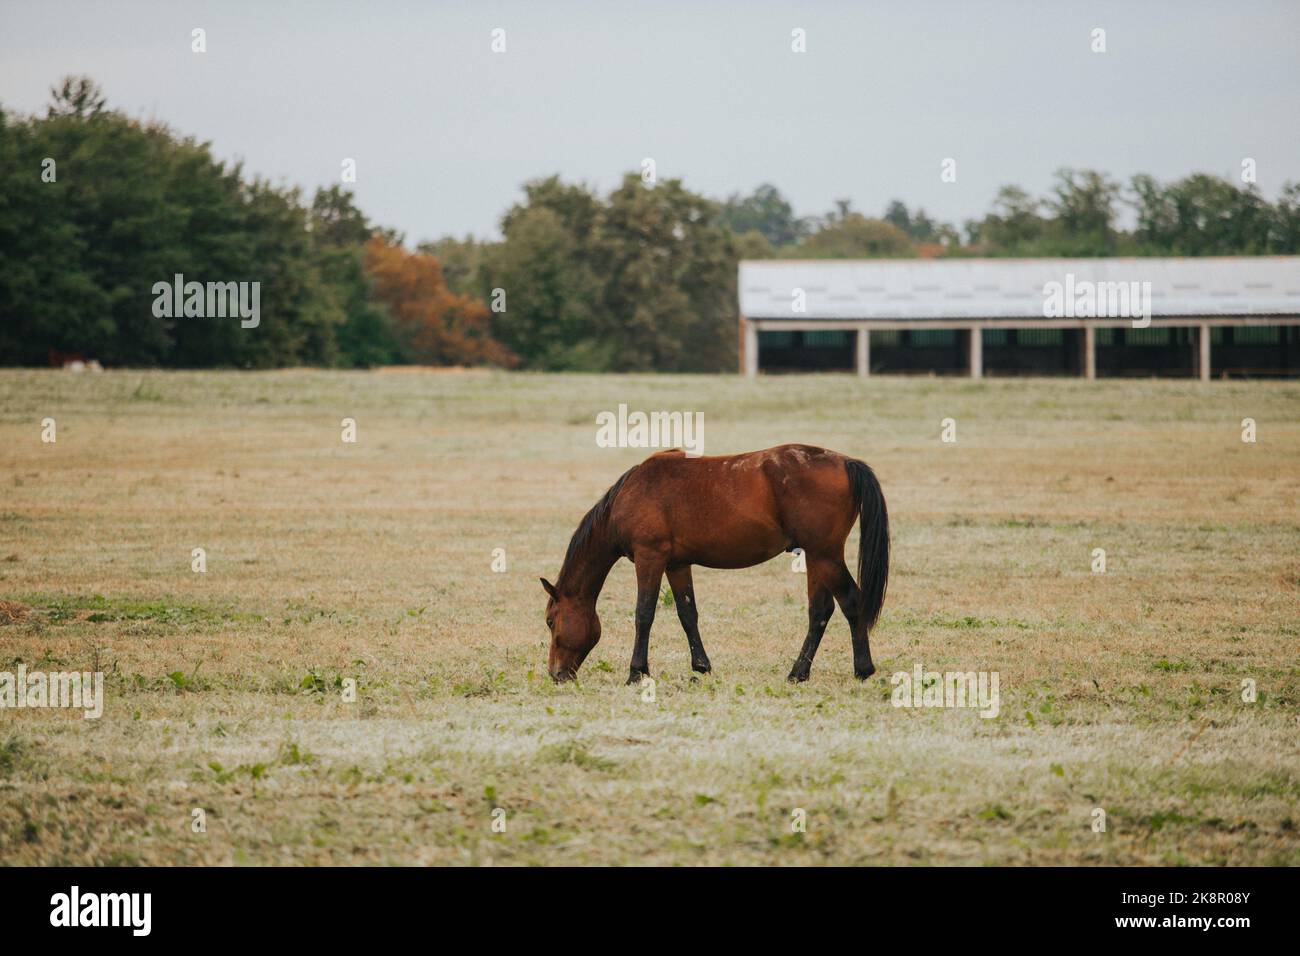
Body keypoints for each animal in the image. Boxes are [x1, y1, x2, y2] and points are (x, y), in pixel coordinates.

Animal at [540, 444, 889, 684]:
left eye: (550, 621)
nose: (556, 674)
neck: (633, 493)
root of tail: (845, 462)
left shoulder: (650, 558)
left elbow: (644, 614)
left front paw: (637, 672)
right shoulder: (677, 565)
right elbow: (687, 613)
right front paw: (701, 666)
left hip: (825, 555)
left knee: (851, 601)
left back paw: (863, 669)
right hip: (816, 558)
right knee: (820, 611)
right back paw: (798, 672)